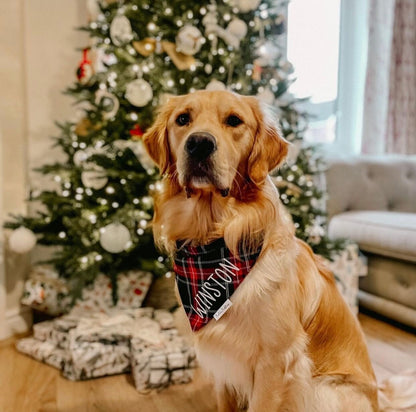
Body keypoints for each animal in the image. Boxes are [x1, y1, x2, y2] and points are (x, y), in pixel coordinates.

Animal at [144, 91, 380, 412]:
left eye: (234, 120)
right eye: (182, 119)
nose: (199, 143)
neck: (216, 242)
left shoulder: (276, 362)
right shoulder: (223, 360)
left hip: (321, 390)